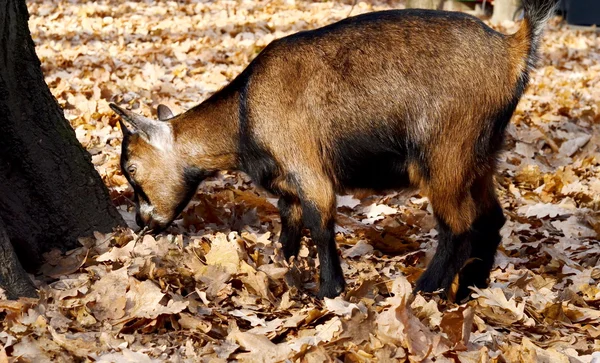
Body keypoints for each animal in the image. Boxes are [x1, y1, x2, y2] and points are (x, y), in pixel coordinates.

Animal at [111, 0, 556, 302]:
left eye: (131, 168)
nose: (142, 223)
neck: (243, 112)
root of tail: (512, 50)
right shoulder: (287, 183)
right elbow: (289, 224)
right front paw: (286, 266)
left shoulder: (308, 168)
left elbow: (320, 223)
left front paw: (329, 290)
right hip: (482, 155)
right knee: (492, 218)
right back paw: (470, 290)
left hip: (445, 152)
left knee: (459, 225)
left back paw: (428, 289)